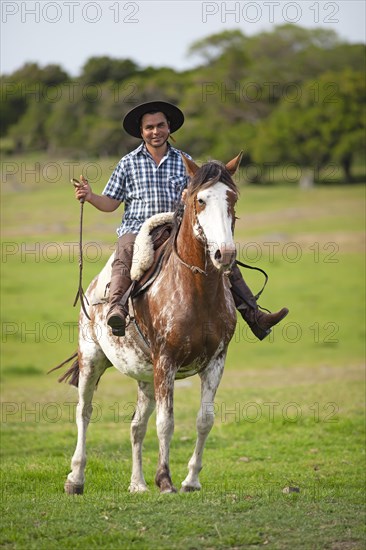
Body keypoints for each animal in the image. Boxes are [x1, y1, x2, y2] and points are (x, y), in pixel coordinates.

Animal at [63, 152, 240, 496]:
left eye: (233, 198)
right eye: (200, 200)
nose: (224, 254)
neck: (196, 289)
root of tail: (90, 288)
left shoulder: (216, 361)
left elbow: (204, 420)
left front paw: (191, 480)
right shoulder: (166, 362)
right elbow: (166, 422)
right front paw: (165, 480)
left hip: (145, 376)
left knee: (136, 425)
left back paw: (138, 483)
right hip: (92, 358)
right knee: (84, 412)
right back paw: (76, 479)